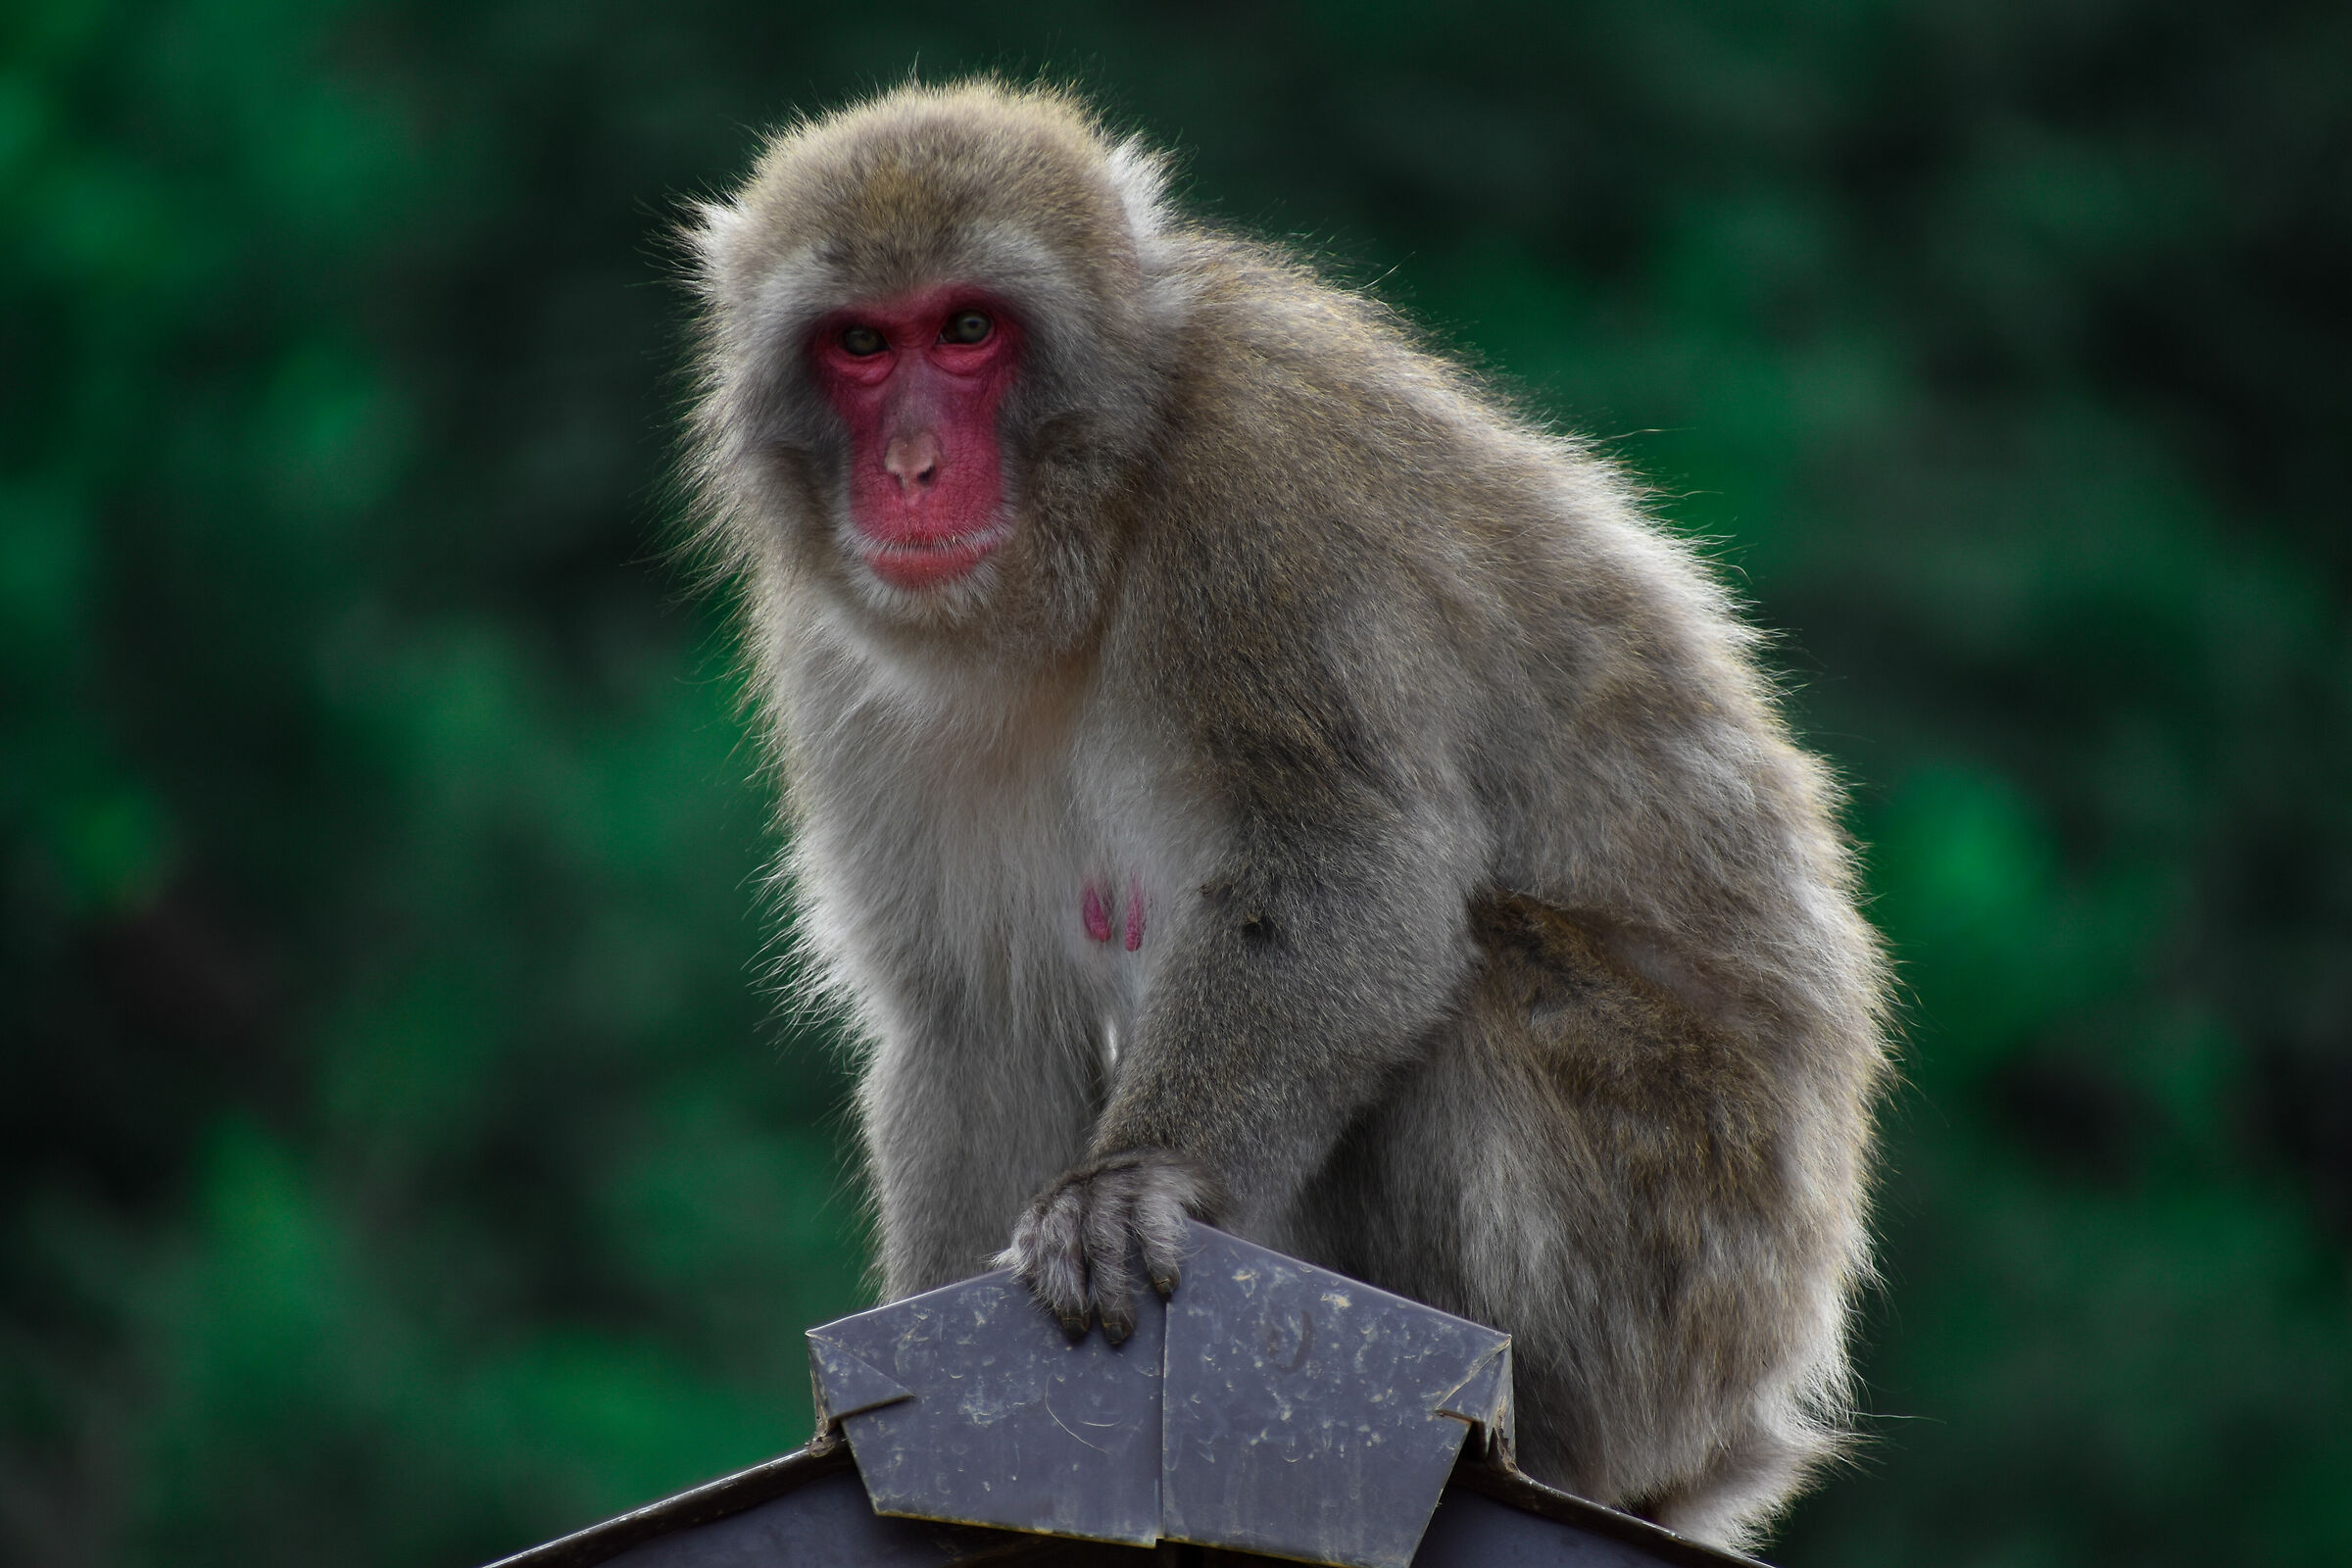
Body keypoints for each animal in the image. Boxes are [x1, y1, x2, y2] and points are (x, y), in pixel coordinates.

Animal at [679, 80, 1890, 1551]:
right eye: (861, 343)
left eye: (969, 330)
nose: (910, 467)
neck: (1094, 533)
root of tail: (1744, 1414)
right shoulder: (842, 658)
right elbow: (976, 1013)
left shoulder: (1264, 490)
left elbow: (1344, 869)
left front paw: (1137, 1181)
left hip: (1678, 1257)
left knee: (1477, 997)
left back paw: (1537, 1437)